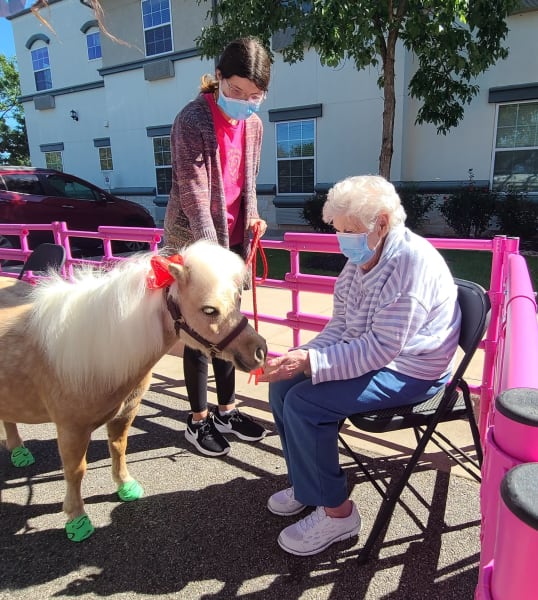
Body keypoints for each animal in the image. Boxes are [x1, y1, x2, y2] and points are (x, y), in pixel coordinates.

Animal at [0, 241, 266, 540]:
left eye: (237, 299)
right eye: (209, 310)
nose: (260, 351)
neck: (96, 350)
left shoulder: (125, 412)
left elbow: (119, 448)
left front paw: (125, 486)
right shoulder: (71, 428)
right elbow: (75, 470)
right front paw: (77, 519)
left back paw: (19, 452)